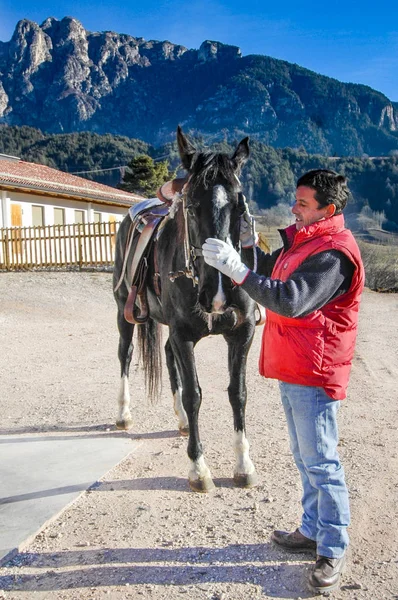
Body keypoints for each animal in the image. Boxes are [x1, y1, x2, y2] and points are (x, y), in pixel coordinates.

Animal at [113, 127, 260, 492]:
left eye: (239, 205)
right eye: (191, 207)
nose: (217, 293)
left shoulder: (241, 334)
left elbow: (238, 393)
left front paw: (243, 464)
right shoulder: (184, 335)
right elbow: (195, 395)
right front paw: (198, 468)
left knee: (167, 355)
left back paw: (179, 419)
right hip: (123, 309)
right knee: (125, 353)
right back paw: (123, 413)